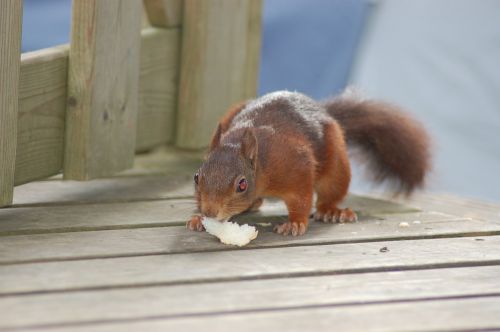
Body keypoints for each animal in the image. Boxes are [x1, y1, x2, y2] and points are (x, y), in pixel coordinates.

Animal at [188, 89, 430, 236]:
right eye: (197, 177)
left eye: (242, 184)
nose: (210, 211)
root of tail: (322, 110)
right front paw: (199, 219)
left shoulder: (296, 164)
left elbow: (301, 199)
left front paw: (295, 222)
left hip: (336, 166)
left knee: (330, 192)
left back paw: (331, 211)